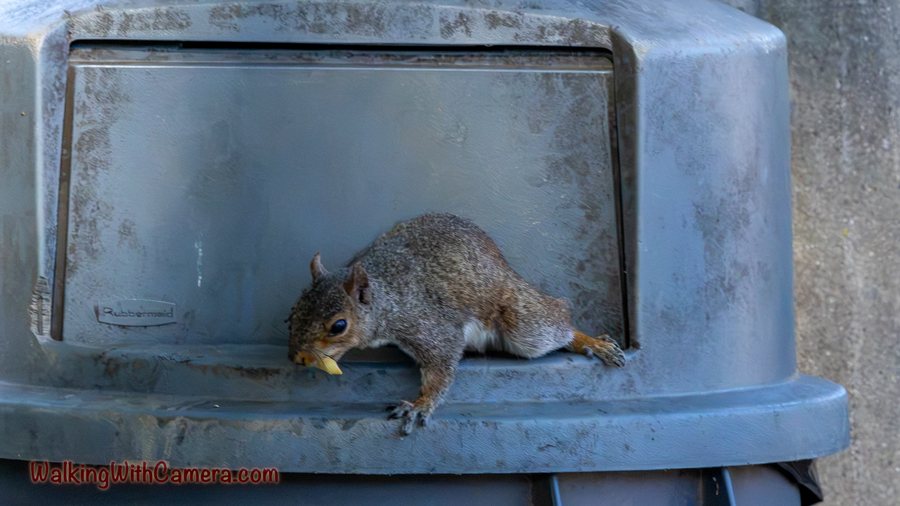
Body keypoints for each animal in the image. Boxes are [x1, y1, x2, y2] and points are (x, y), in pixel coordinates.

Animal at [287, 213, 624, 435]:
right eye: (293, 313)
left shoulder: (427, 325)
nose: (297, 358)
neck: (385, 295)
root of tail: (505, 268)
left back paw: (591, 341)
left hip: (523, 323)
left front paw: (420, 404)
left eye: (339, 326)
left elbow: (441, 365)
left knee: (557, 319)